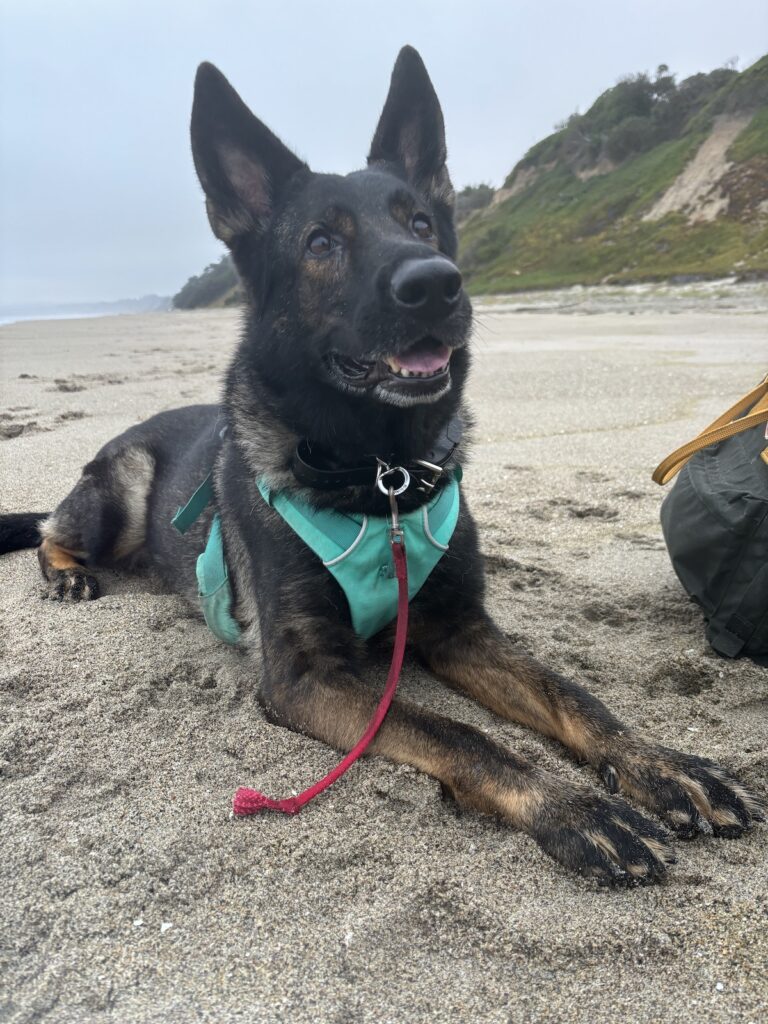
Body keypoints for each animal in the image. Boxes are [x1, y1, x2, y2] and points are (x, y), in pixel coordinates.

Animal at [3, 46, 765, 880]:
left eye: (422, 222)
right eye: (320, 243)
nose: (434, 282)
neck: (380, 478)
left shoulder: (460, 630)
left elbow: (572, 695)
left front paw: (660, 765)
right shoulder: (307, 679)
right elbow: (459, 732)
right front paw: (573, 809)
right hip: (124, 488)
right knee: (49, 527)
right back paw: (67, 572)